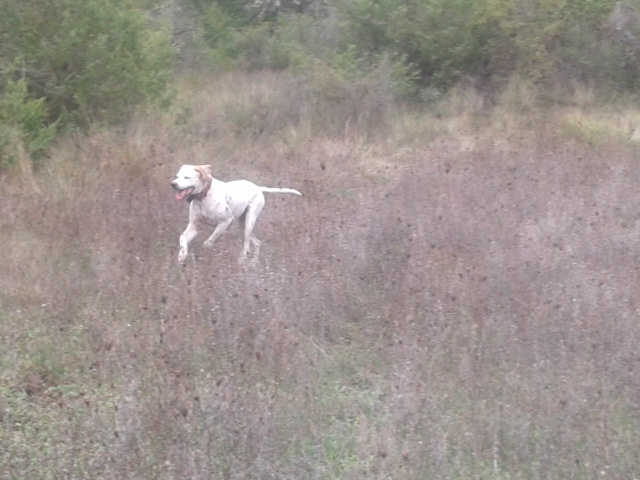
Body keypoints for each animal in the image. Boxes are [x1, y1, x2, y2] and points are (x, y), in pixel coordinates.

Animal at [170, 164, 300, 262]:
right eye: (177, 176)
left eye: (187, 177)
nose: (173, 184)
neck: (203, 196)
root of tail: (257, 187)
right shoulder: (194, 226)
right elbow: (182, 238)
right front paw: (182, 255)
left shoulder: (226, 221)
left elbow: (209, 242)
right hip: (243, 224)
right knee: (257, 243)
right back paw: (253, 263)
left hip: (249, 222)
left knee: (247, 247)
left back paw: (243, 263)